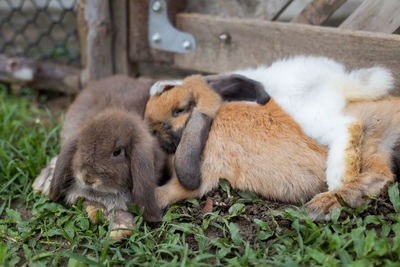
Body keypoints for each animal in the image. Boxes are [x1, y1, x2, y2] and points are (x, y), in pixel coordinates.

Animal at [144, 75, 400, 222]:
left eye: (179, 111)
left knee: (379, 175)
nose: (147, 126)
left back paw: (318, 207)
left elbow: (168, 193)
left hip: (367, 144)